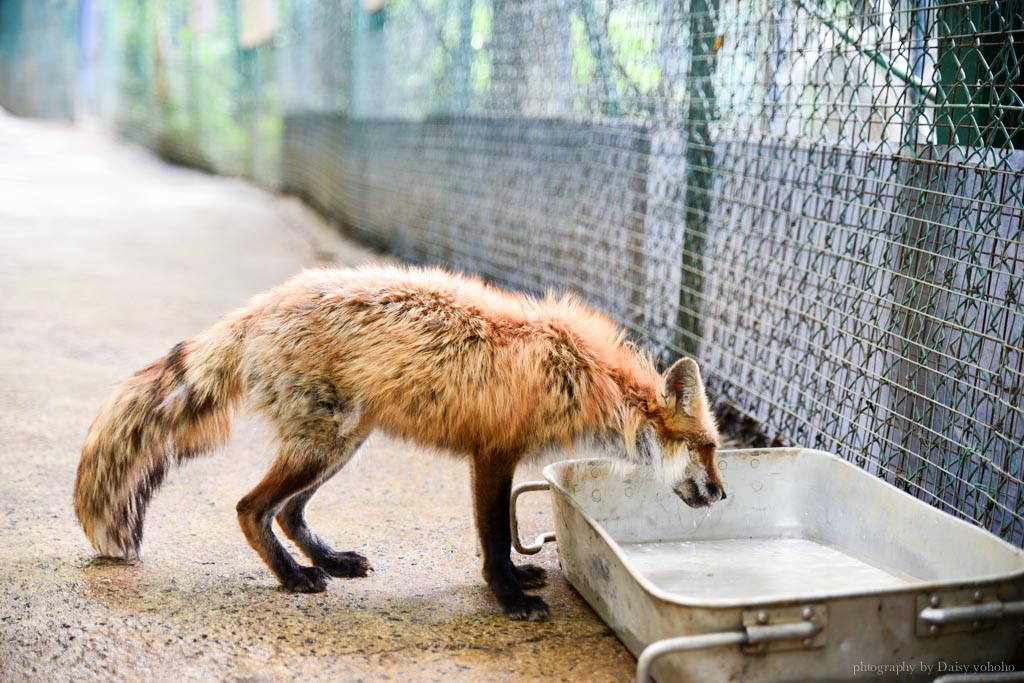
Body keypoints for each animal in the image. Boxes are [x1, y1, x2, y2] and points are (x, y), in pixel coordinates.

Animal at [75, 264, 724, 622]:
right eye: (708, 449)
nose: (722, 495)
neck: (576, 372)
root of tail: (256, 310)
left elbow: (498, 537)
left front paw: (517, 579)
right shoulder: (494, 453)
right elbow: (493, 537)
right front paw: (507, 595)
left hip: (341, 445)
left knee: (287, 511)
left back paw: (328, 561)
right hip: (325, 443)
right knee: (250, 508)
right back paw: (293, 577)